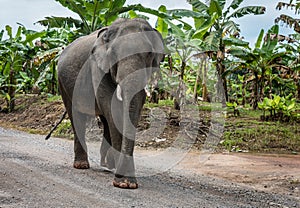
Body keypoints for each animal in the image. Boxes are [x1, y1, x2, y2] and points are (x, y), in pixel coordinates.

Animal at [56, 18, 164, 189]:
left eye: (149, 54)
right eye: (114, 54)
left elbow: (133, 105)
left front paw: (127, 182)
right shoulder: (98, 68)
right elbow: (110, 105)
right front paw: (123, 183)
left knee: (105, 119)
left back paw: (107, 165)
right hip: (62, 83)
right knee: (76, 116)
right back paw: (82, 165)